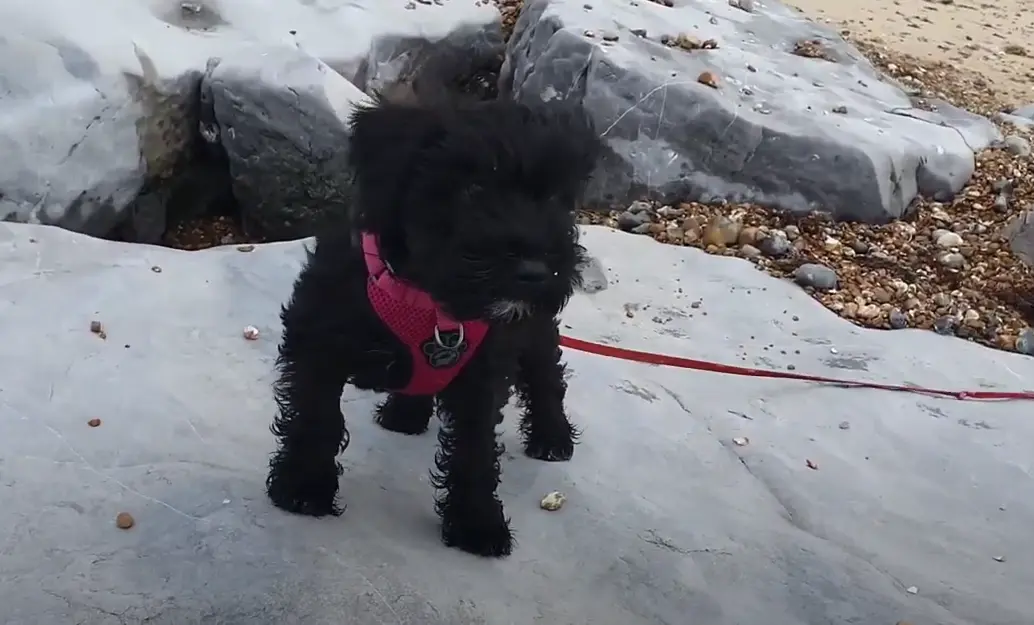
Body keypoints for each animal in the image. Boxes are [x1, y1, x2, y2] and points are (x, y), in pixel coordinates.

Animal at [266, 86, 603, 554]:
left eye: (556, 199)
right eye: (474, 188)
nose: (537, 271)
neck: (428, 300)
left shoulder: (482, 373)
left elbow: (475, 448)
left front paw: (477, 521)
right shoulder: (318, 341)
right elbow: (316, 414)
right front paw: (303, 485)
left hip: (535, 326)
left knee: (546, 376)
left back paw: (551, 437)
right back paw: (404, 414)